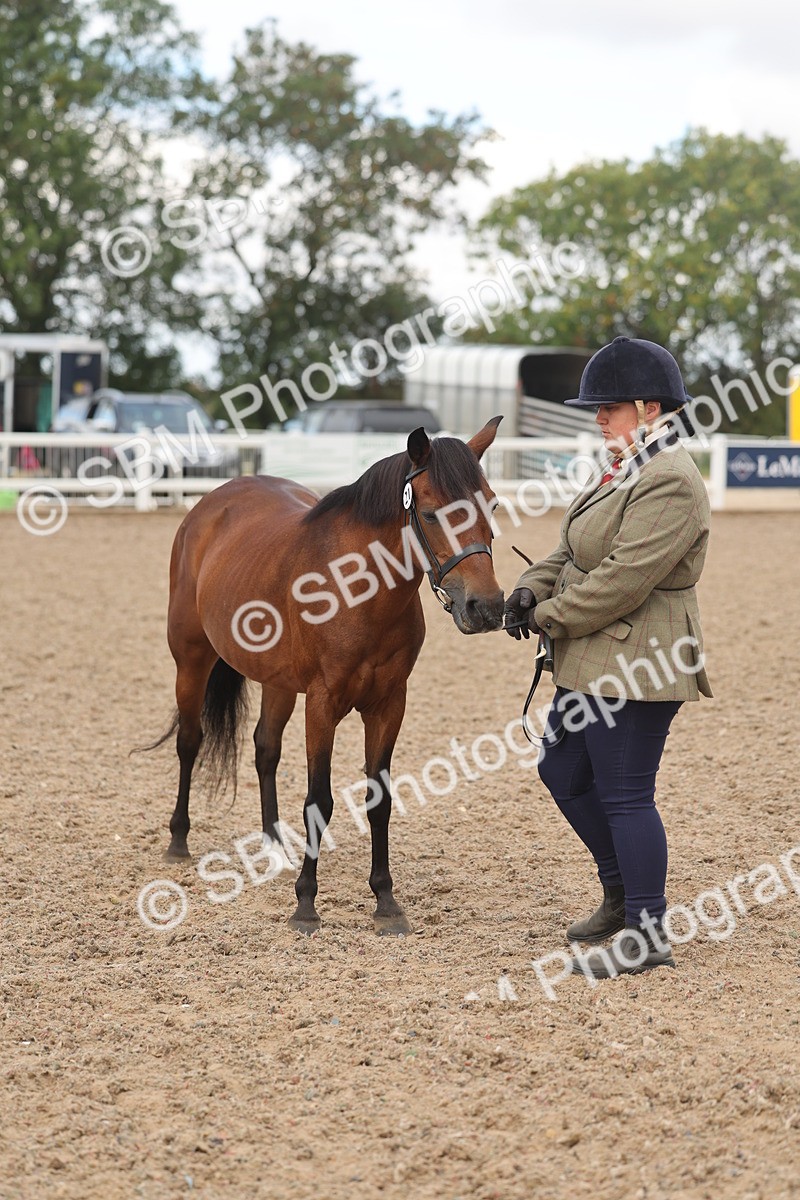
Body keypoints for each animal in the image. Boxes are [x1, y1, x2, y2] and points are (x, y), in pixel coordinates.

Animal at [156, 418, 505, 935]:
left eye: (492, 505)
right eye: (431, 513)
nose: (487, 607)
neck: (358, 589)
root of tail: (213, 502)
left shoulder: (389, 704)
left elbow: (379, 799)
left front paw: (385, 901)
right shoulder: (322, 704)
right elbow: (318, 801)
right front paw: (306, 903)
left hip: (278, 681)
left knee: (265, 749)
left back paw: (274, 847)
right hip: (192, 659)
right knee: (190, 742)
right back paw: (178, 840)